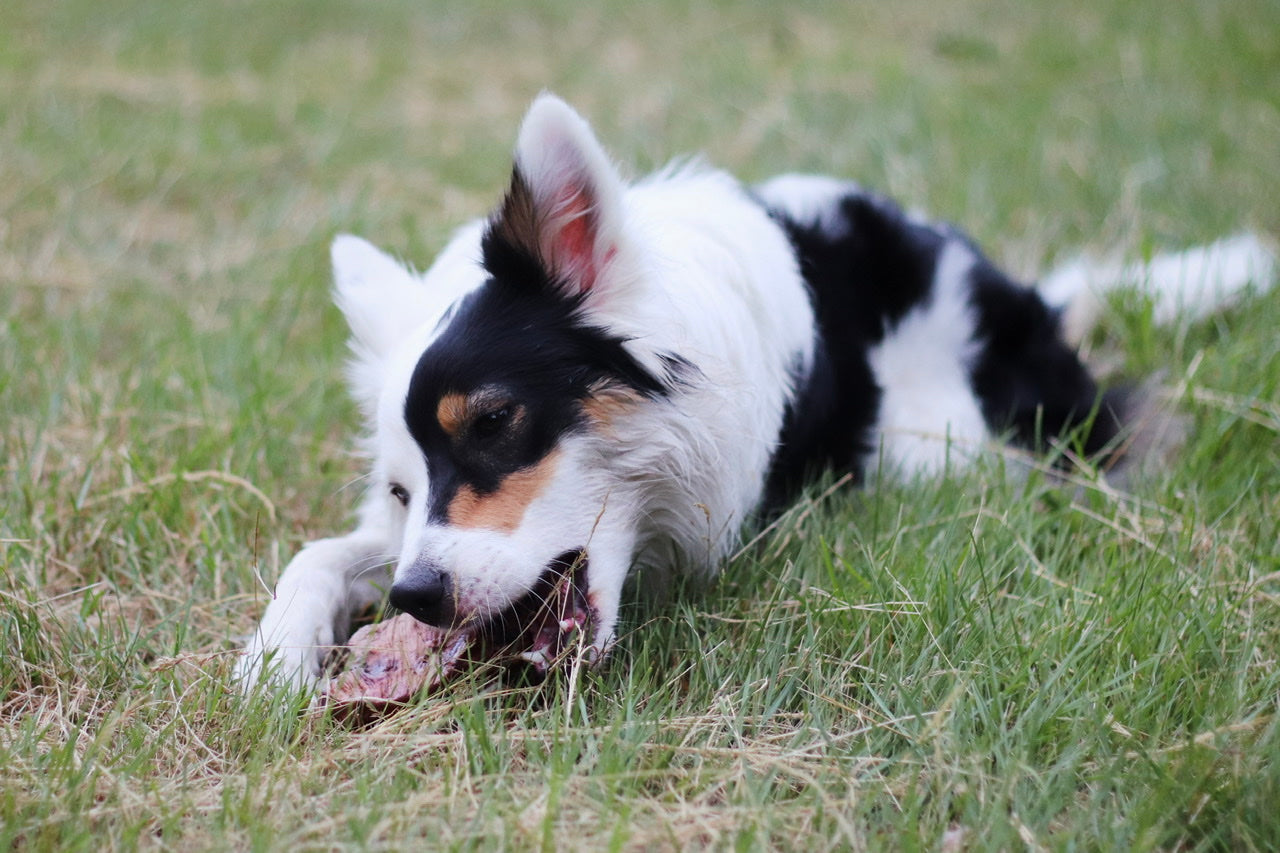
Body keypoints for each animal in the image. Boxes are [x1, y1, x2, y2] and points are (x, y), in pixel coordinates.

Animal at [235, 91, 1274, 686]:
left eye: (493, 420)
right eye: (401, 487)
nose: (414, 598)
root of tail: (1031, 297)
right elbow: (321, 551)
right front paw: (273, 656)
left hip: (939, 445)